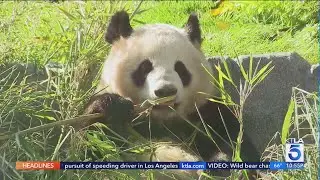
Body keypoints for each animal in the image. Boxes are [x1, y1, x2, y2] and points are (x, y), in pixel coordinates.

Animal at [84, 10, 262, 179]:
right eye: (145, 67)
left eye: (180, 68)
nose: (166, 91)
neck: (162, 120)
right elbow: (92, 144)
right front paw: (115, 107)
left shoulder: (207, 113)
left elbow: (236, 145)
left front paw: (223, 168)